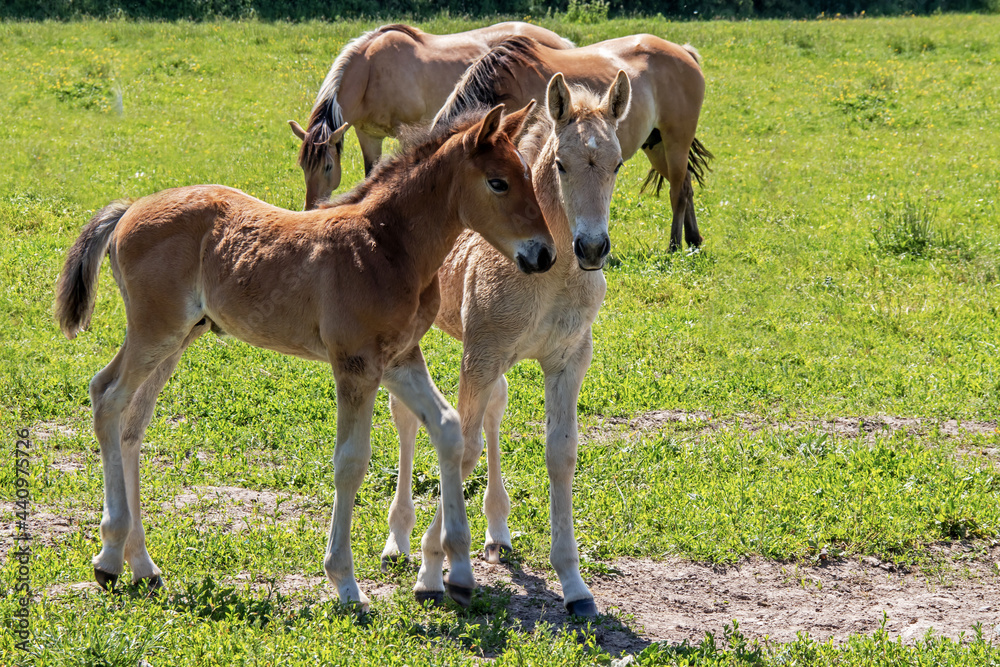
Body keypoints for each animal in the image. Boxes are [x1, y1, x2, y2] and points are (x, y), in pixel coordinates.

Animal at [54, 103, 554, 612]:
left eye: (528, 175)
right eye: (498, 182)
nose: (545, 254)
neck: (387, 246)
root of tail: (129, 208)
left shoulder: (398, 359)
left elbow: (450, 429)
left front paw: (458, 572)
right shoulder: (355, 364)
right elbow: (351, 462)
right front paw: (346, 584)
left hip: (177, 340)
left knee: (132, 423)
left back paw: (140, 564)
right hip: (155, 331)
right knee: (107, 396)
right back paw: (110, 557)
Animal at [288, 22, 574, 209]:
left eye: (327, 166)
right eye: (302, 165)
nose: (311, 208)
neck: (372, 70)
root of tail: (563, 42)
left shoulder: (408, 132)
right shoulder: (368, 135)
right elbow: (372, 172)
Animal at [379, 72, 632, 617]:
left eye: (618, 163)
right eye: (561, 163)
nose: (592, 247)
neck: (552, 274)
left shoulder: (568, 360)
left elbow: (561, 453)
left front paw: (574, 585)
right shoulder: (481, 354)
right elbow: (463, 446)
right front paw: (433, 569)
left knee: (495, 407)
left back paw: (497, 532)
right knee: (408, 418)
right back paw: (398, 540)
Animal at [433, 35, 712, 251]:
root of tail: (684, 51)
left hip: (676, 142)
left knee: (678, 192)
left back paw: (674, 245)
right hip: (657, 145)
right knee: (686, 185)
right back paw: (693, 239)